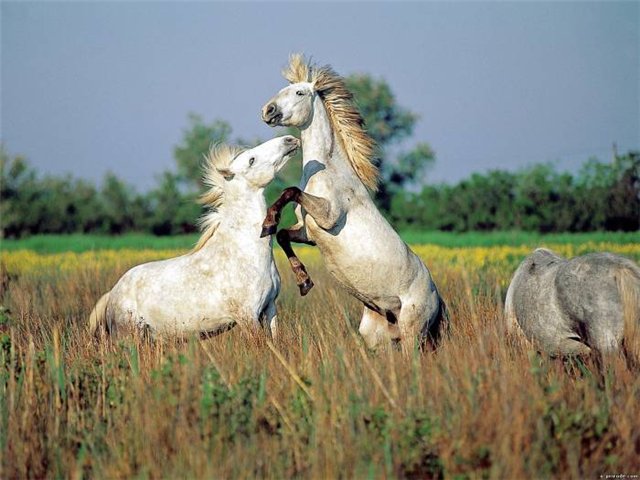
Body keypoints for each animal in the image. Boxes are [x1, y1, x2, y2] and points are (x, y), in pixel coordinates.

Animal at [89, 135, 302, 338]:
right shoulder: (247, 316)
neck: (244, 252)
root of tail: (112, 293)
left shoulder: (270, 308)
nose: (290, 140)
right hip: (128, 336)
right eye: (251, 160)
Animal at [258, 55, 444, 348]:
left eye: (299, 93)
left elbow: (290, 191)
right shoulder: (309, 231)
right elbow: (283, 235)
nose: (268, 110)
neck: (329, 171)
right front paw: (304, 283)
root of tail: (438, 299)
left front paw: (267, 222)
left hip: (413, 332)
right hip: (378, 336)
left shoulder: (329, 216)